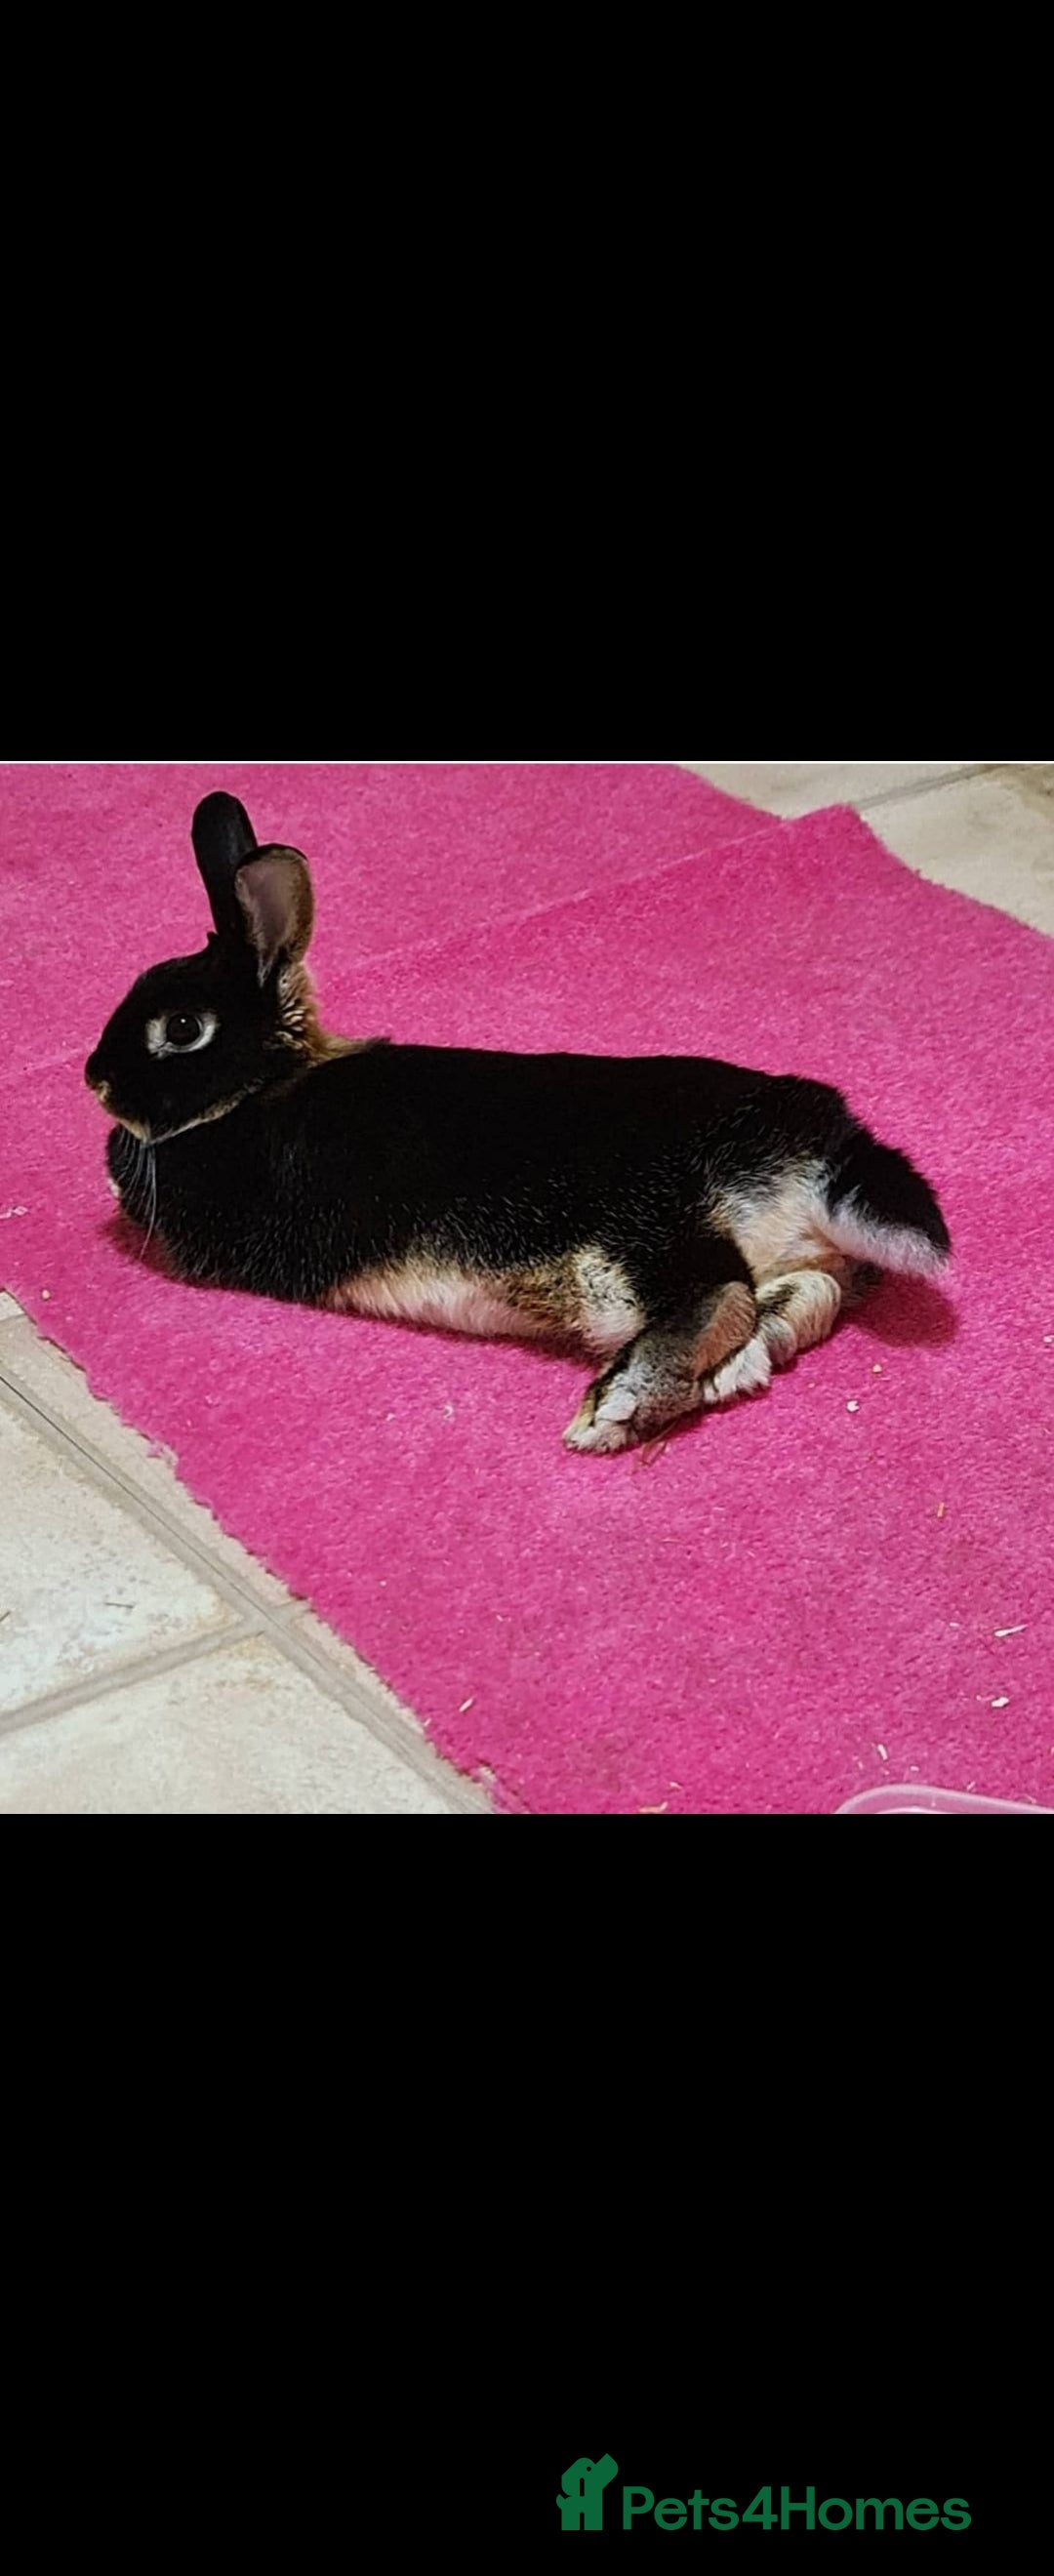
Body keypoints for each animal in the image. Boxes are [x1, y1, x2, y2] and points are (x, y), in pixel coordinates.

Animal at [84, 791, 951, 1454]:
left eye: (183, 1029)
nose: (95, 1079)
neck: (261, 1088)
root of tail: (819, 1140)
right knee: (801, 1297)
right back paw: (726, 1372)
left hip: (637, 1227)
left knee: (719, 1291)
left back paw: (620, 1406)